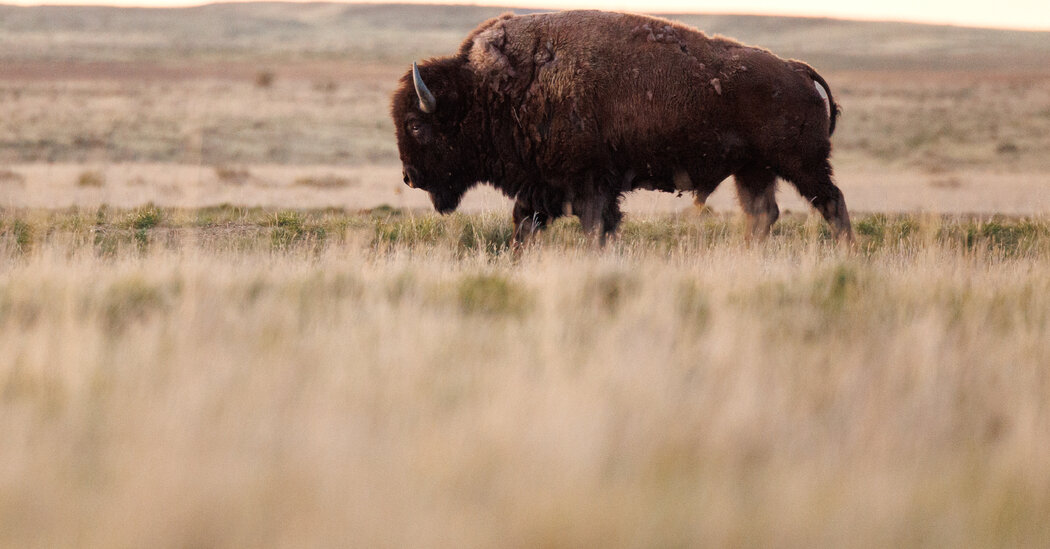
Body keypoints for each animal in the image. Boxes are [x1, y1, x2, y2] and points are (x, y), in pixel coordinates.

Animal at [391, 10, 853, 244]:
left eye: (414, 125)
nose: (409, 177)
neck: (494, 87)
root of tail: (795, 69)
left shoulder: (589, 184)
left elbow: (594, 226)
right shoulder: (544, 186)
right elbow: (524, 224)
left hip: (801, 165)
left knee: (831, 203)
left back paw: (847, 253)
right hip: (754, 170)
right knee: (762, 215)